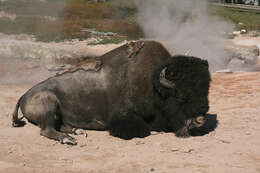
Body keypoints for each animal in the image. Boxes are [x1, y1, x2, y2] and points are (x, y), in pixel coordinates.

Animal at [12, 40, 211, 145]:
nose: (200, 120)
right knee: (46, 129)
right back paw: (69, 139)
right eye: (181, 96)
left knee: (59, 125)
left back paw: (77, 131)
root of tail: (25, 95)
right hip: (49, 103)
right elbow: (143, 130)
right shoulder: (124, 118)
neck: (154, 85)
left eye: (206, 90)